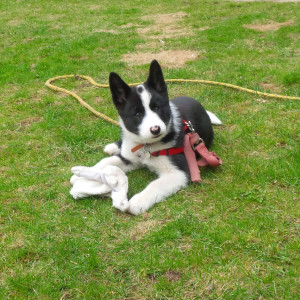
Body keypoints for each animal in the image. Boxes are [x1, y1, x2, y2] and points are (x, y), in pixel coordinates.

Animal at [72, 60, 220, 216]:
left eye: (157, 108)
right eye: (137, 114)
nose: (155, 129)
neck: (147, 146)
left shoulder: (180, 172)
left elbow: (156, 185)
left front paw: (138, 202)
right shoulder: (130, 157)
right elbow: (109, 162)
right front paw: (82, 174)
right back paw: (113, 146)